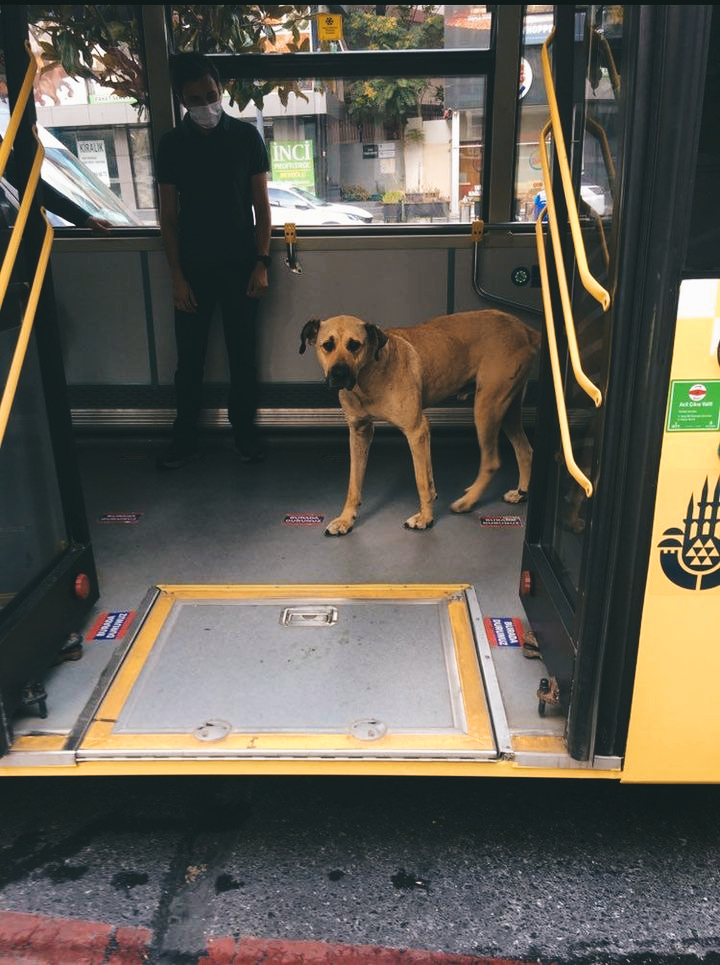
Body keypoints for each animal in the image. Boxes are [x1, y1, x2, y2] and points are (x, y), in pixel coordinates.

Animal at [298, 308, 540, 536]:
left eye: (355, 345)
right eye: (327, 345)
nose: (339, 373)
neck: (370, 374)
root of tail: (524, 329)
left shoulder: (416, 430)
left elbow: (421, 480)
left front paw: (425, 518)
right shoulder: (360, 432)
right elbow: (354, 483)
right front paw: (346, 520)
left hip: (486, 408)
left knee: (492, 461)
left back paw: (467, 502)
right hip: (507, 410)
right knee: (525, 450)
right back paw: (521, 493)